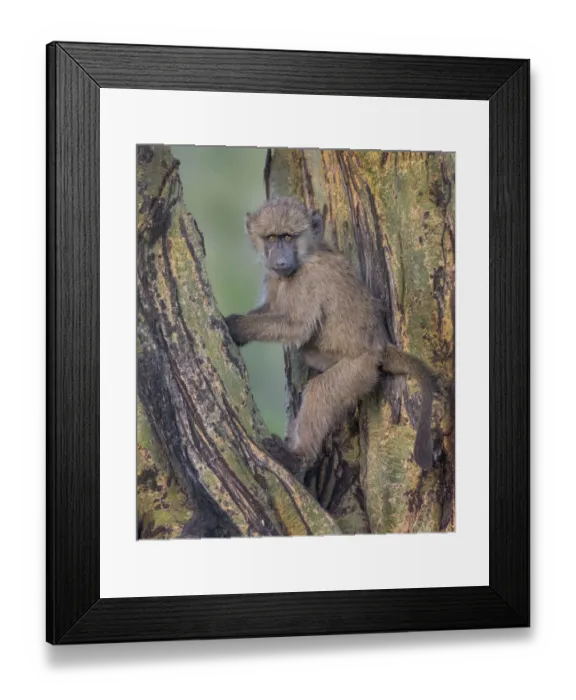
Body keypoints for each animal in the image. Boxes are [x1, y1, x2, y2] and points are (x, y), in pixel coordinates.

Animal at [225, 195, 438, 472]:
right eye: (271, 237)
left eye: (288, 236)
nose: (280, 262)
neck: (303, 259)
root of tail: (380, 345)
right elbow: (273, 309)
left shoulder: (308, 280)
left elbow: (298, 327)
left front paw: (235, 326)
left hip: (359, 369)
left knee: (320, 391)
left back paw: (297, 457)